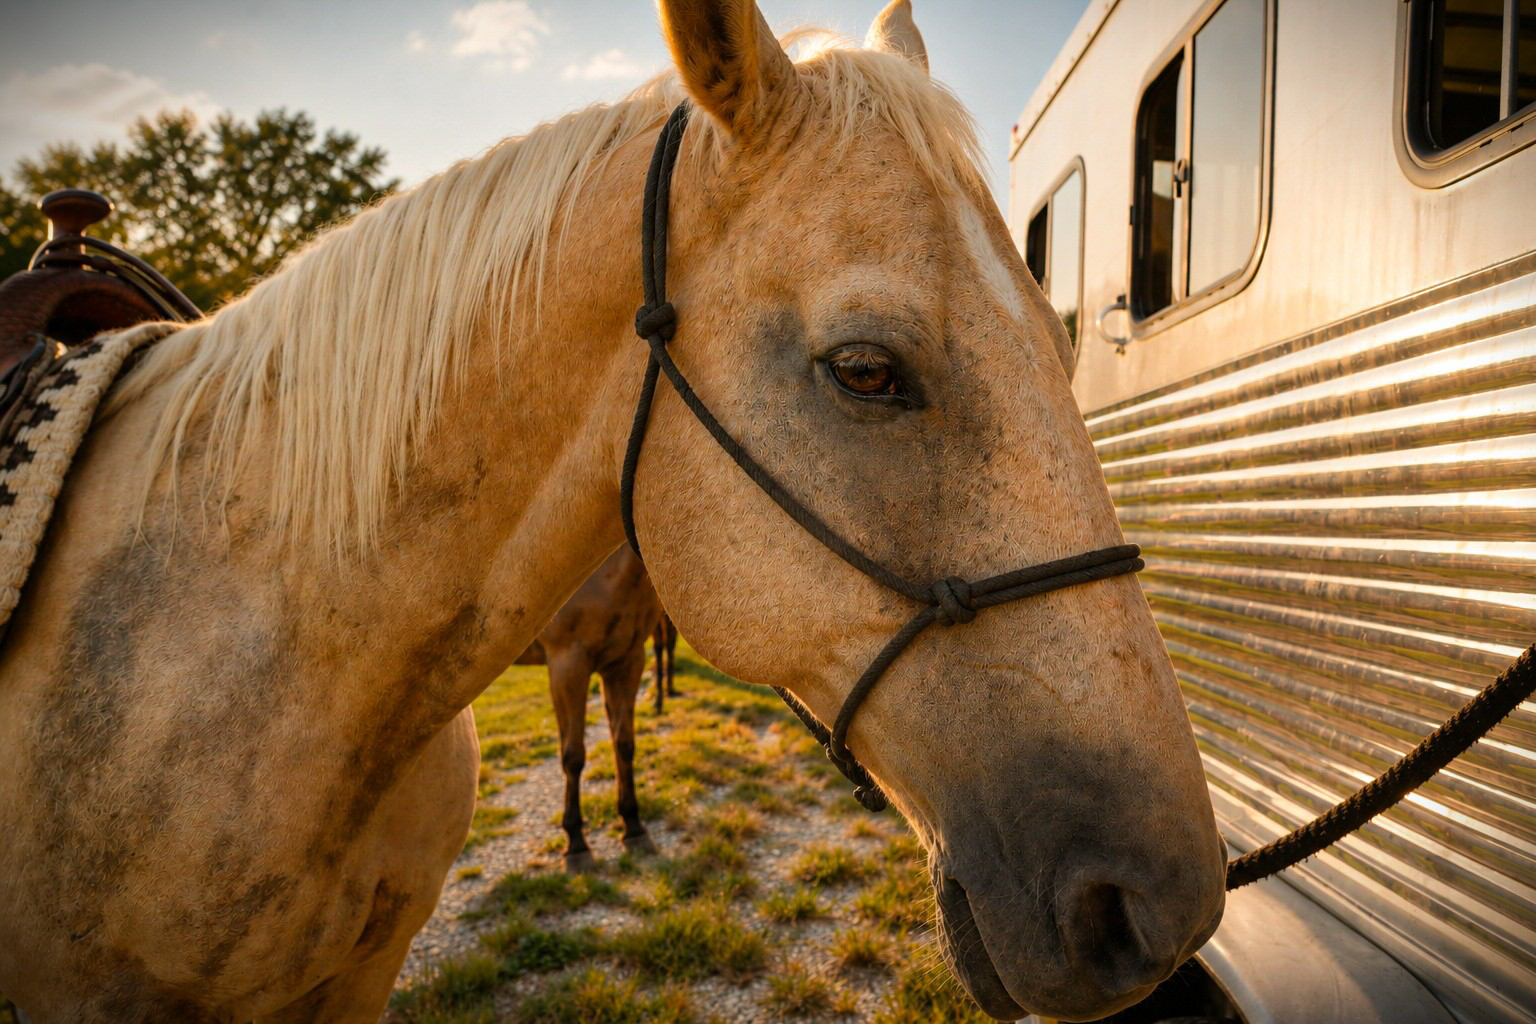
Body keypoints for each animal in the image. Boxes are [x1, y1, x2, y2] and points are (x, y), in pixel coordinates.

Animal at [514, 544, 665, 870]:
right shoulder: (567, 666)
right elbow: (573, 756)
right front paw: (576, 843)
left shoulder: (626, 662)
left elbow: (624, 744)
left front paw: (633, 826)